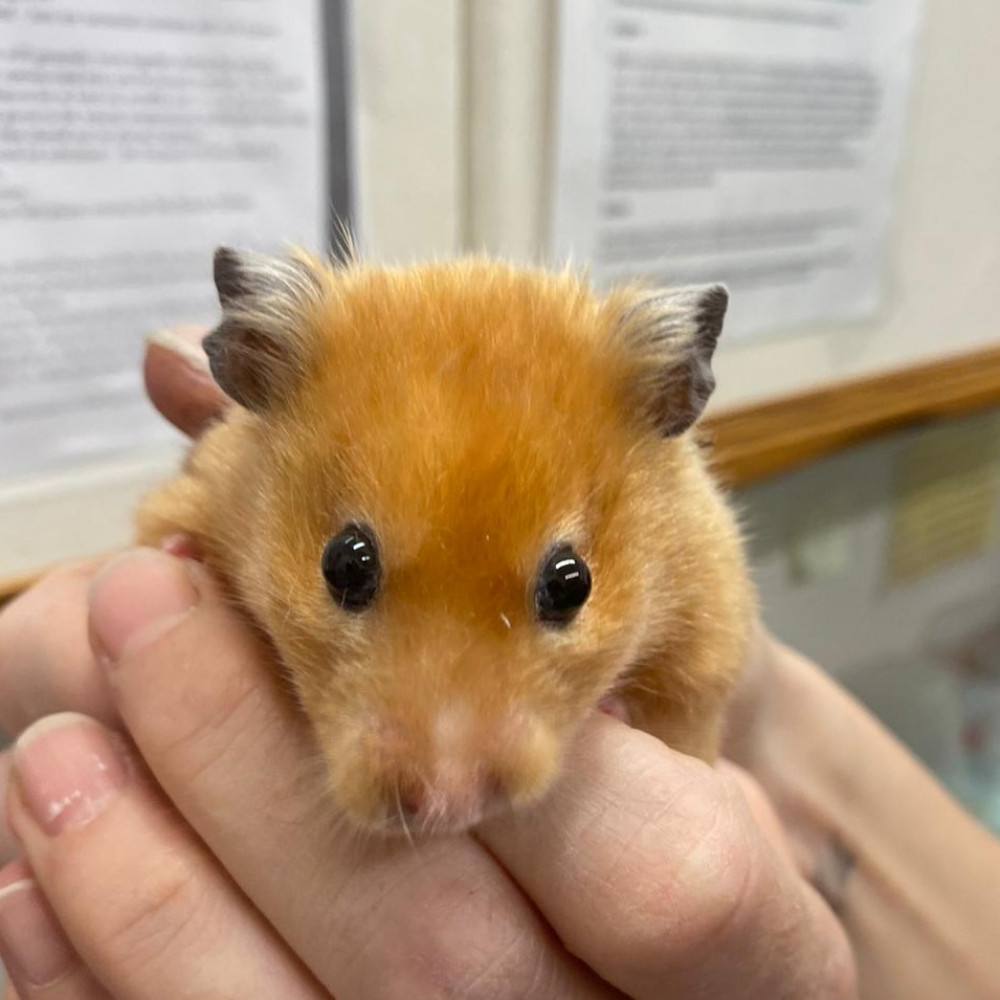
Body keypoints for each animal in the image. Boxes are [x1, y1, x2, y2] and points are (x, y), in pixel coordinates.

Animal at [137, 250, 752, 836]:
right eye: (344, 563)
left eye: (572, 582)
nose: (445, 806)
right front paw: (177, 553)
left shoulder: (706, 654)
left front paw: (613, 707)